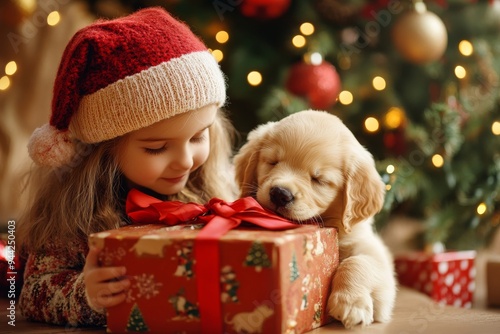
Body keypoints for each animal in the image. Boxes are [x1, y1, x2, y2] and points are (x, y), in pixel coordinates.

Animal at [233, 109, 394, 328]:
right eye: (273, 162)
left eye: (319, 180)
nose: (280, 194)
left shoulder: (373, 253)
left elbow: (358, 262)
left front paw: (351, 304)